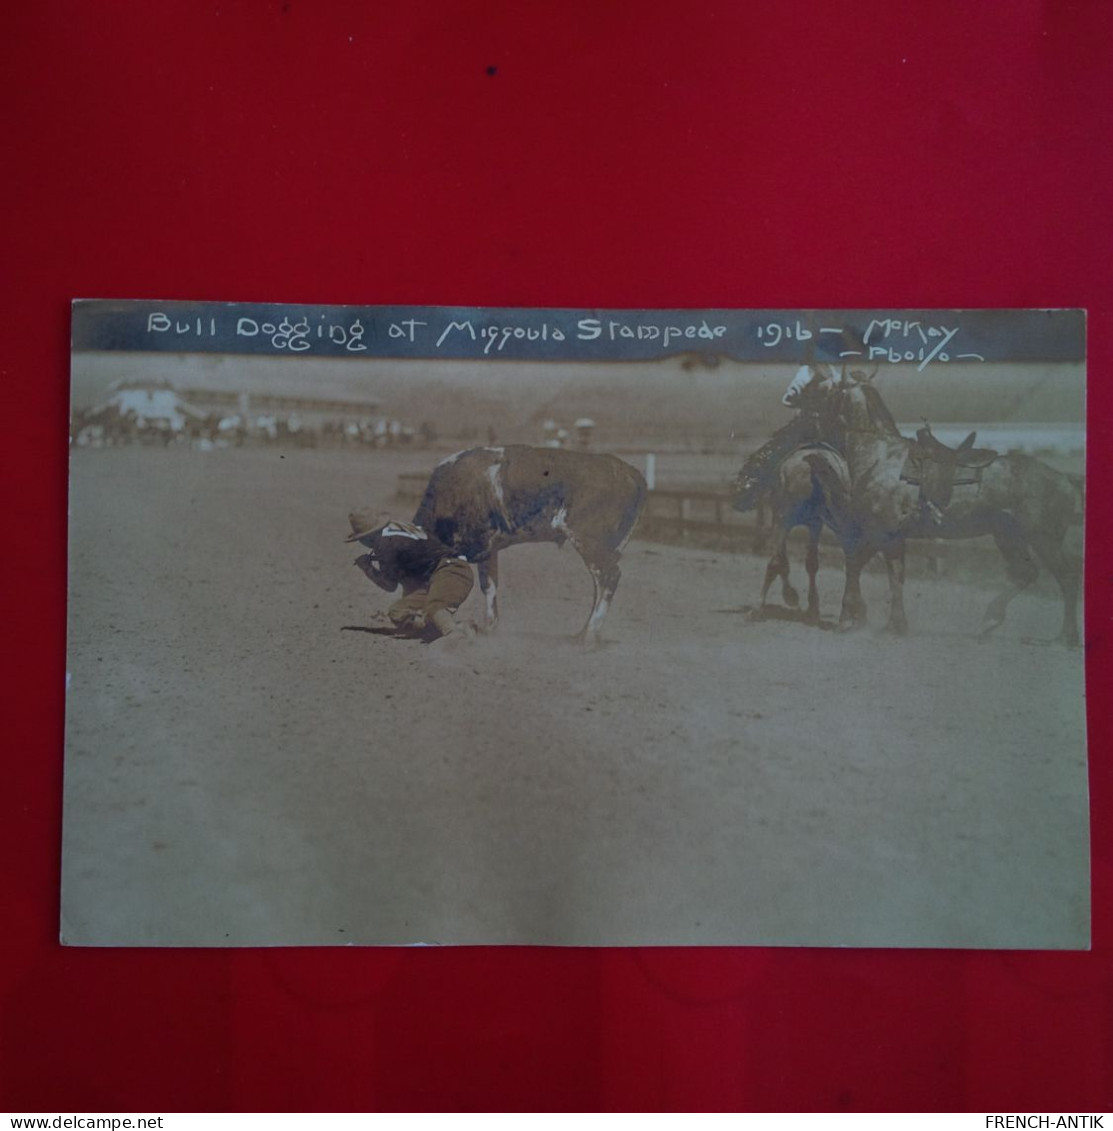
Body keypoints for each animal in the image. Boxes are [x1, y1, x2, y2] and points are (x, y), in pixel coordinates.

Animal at [787, 364, 1081, 646]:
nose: (793, 399)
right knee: (1026, 573)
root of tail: (1064, 479)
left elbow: (881, 572)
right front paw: (866, 620)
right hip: (1008, 535)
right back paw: (992, 620)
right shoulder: (885, 534)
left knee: (1067, 577)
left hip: (1043, 538)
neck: (881, 457)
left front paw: (872, 622)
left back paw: (1065, 637)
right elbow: (872, 569)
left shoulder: (886, 532)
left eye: (824, 387)